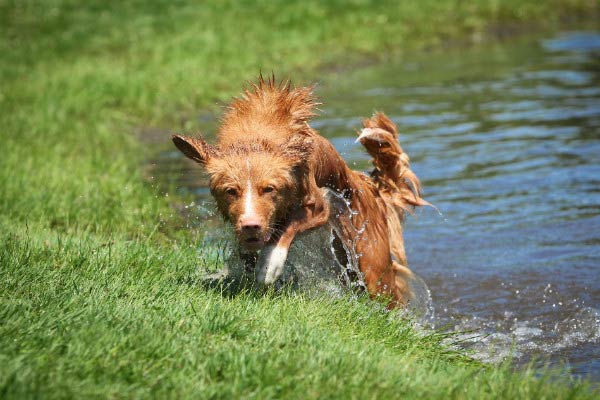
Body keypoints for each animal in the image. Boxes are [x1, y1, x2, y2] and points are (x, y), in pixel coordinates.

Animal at [172, 76, 426, 306]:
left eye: (269, 189)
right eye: (231, 191)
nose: (250, 226)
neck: (256, 139)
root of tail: (370, 186)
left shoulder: (320, 206)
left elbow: (288, 227)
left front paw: (270, 263)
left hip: (373, 267)